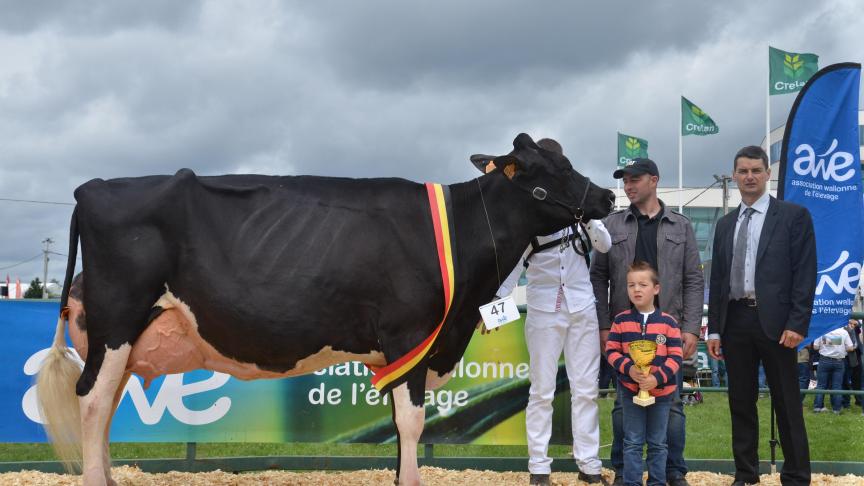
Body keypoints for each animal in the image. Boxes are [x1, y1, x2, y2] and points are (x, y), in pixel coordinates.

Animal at [37, 134, 612, 486]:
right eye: (548, 170)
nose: (606, 197)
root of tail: (91, 189)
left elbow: (400, 422)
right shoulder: (409, 335)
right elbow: (411, 421)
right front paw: (410, 479)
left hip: (122, 339)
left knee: (106, 405)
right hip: (116, 320)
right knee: (92, 401)